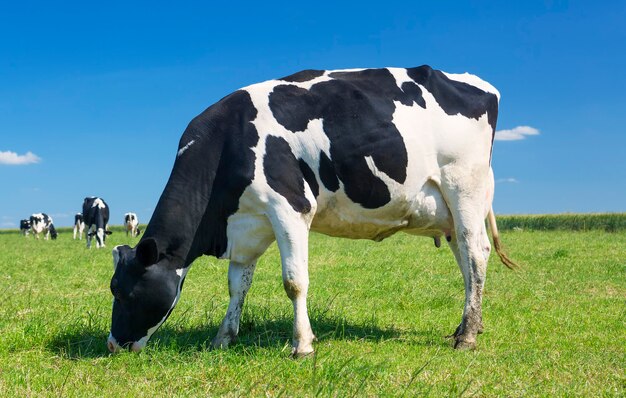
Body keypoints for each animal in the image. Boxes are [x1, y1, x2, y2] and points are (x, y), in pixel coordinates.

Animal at [108, 65, 516, 354]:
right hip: (449, 210)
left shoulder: (290, 208)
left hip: (463, 187)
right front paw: (223, 338)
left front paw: (302, 345)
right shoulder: (247, 223)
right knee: (466, 261)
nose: (113, 344)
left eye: (124, 293)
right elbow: (237, 285)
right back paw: (469, 325)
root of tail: (476, 83)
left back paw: (466, 337)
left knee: (476, 253)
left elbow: (294, 281)